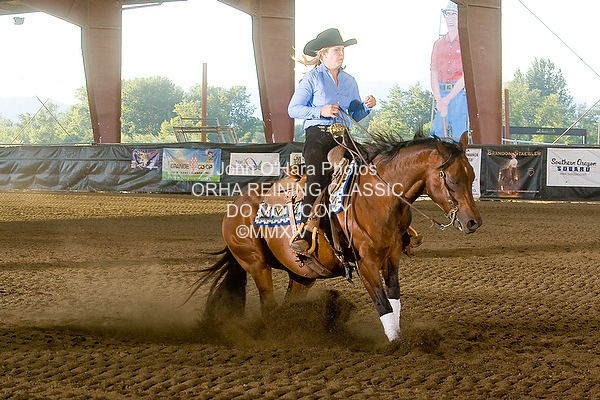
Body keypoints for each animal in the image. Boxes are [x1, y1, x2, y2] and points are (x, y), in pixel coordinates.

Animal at [195, 131, 482, 341]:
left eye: (472, 176)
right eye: (452, 179)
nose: (473, 222)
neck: (377, 199)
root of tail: (237, 204)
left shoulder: (392, 258)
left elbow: (394, 299)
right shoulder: (366, 262)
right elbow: (383, 304)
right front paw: (397, 344)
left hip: (301, 275)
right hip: (257, 265)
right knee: (269, 305)